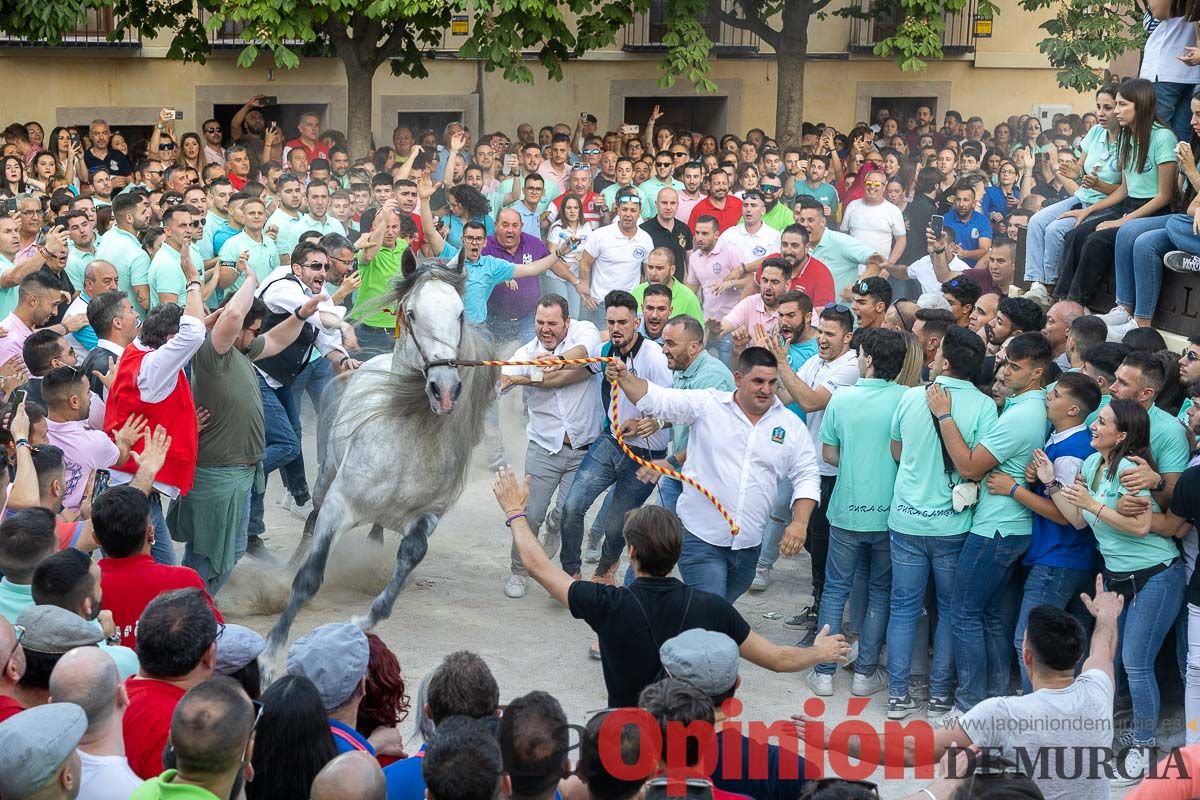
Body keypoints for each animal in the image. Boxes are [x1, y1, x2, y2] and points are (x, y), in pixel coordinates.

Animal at [266, 260, 496, 662]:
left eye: (460, 313)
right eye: (412, 313)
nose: (445, 389)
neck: (406, 441)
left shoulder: (428, 515)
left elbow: (409, 559)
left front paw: (363, 620)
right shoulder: (339, 504)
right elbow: (309, 577)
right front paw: (270, 649)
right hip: (326, 477)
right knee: (310, 520)